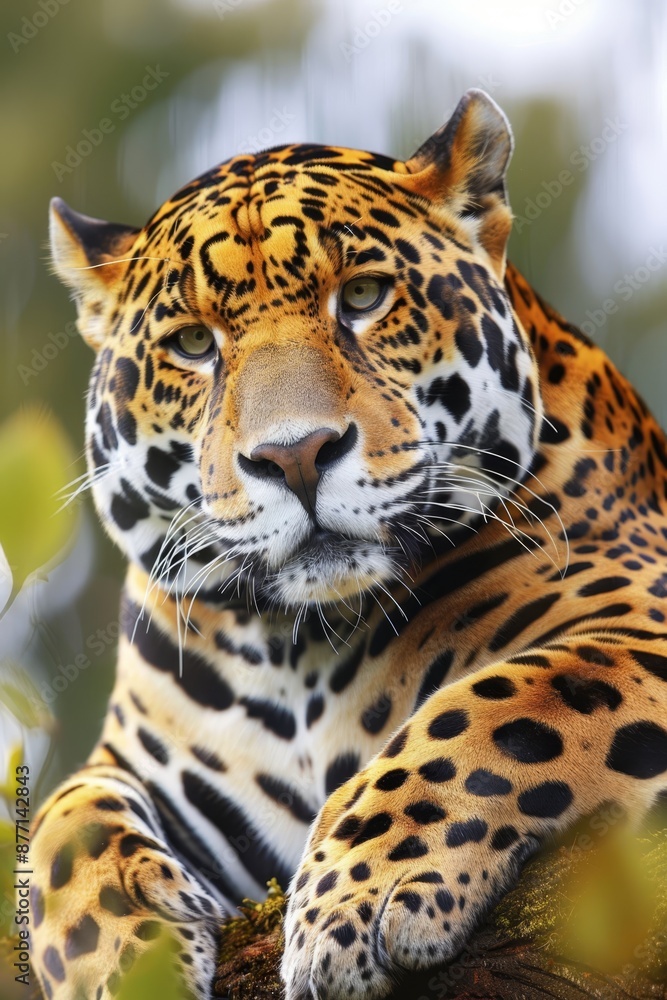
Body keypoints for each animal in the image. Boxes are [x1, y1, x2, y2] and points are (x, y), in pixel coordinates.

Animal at [31, 88, 667, 1000]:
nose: (295, 455)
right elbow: (63, 825)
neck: (298, 647)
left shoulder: (636, 615)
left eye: (362, 296)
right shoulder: (137, 760)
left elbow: (487, 711)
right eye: (193, 344)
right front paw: (122, 957)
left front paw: (362, 894)